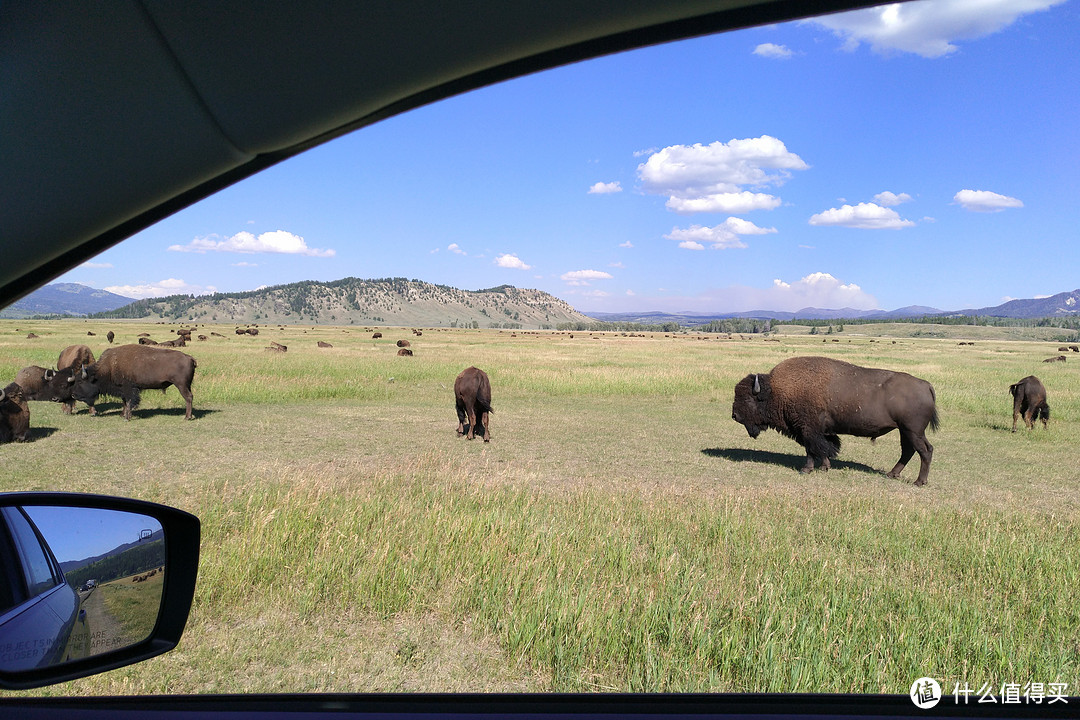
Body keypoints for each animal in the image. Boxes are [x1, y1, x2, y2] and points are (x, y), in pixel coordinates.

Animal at [63, 345, 198, 418]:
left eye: (81, 382)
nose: (73, 395)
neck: (109, 367)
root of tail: (189, 358)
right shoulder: (122, 389)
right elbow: (124, 402)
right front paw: (122, 414)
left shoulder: (129, 389)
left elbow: (129, 401)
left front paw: (127, 416)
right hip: (187, 385)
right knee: (190, 397)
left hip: (181, 385)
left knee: (188, 397)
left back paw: (187, 417)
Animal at [730, 358, 941, 487]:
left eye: (748, 398)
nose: (734, 415)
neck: (776, 390)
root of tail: (926, 385)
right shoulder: (820, 431)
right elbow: (823, 448)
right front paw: (825, 467)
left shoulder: (808, 430)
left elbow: (811, 449)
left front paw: (806, 470)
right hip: (906, 431)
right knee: (911, 450)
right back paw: (892, 474)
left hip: (912, 431)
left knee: (924, 451)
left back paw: (918, 482)